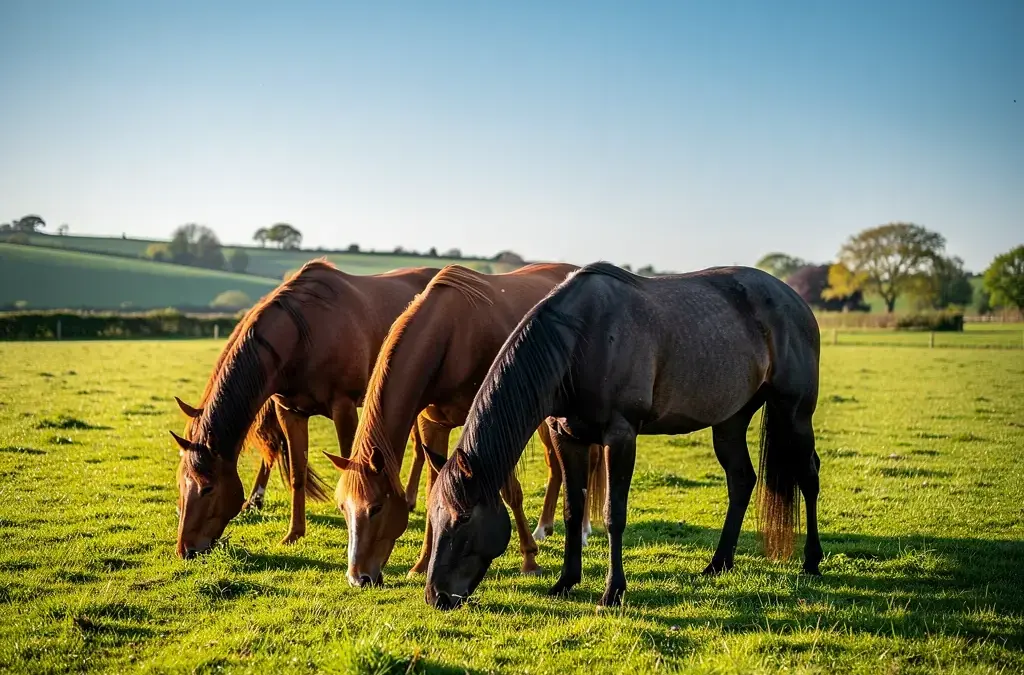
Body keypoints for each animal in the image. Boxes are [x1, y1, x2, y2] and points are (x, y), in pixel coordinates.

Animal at [169, 259, 439, 558]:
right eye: (180, 483)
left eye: (207, 488)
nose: (186, 549)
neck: (303, 336)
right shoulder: (290, 412)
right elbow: (297, 473)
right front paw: (294, 533)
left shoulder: (344, 408)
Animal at [322, 263, 606, 587]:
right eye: (343, 508)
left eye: (376, 508)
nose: (358, 578)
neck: (450, 335)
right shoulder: (433, 425)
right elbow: (434, 491)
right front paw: (422, 564)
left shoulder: (496, 423)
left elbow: (511, 492)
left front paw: (529, 560)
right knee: (556, 466)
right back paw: (544, 527)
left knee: (590, 464)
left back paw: (582, 531)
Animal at [425, 262, 821, 609]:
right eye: (433, 515)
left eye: (463, 518)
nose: (436, 596)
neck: (580, 340)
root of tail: (795, 300)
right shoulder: (566, 436)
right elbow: (573, 509)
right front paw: (565, 582)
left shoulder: (620, 437)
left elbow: (613, 513)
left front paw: (612, 592)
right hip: (730, 422)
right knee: (741, 480)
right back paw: (718, 564)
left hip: (794, 415)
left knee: (809, 476)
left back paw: (812, 561)